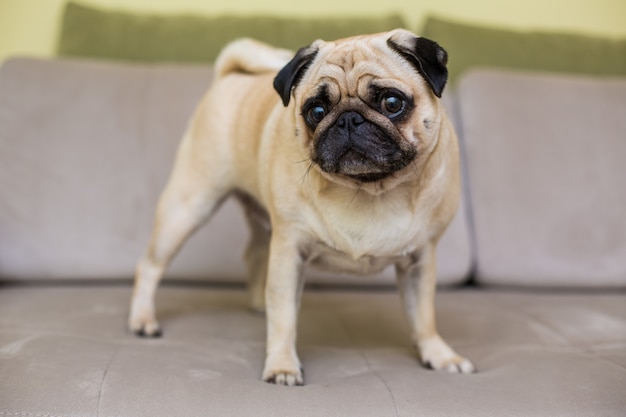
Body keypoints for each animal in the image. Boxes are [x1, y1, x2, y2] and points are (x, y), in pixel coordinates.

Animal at [130, 29, 472, 386]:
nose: (348, 119)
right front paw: (282, 365)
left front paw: (439, 355)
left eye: (392, 103)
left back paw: (258, 304)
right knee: (150, 266)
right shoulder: (290, 251)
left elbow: (423, 316)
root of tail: (230, 74)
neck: (370, 189)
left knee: (254, 255)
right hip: (188, 206)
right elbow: (284, 317)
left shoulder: (421, 260)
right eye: (316, 111)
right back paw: (143, 320)